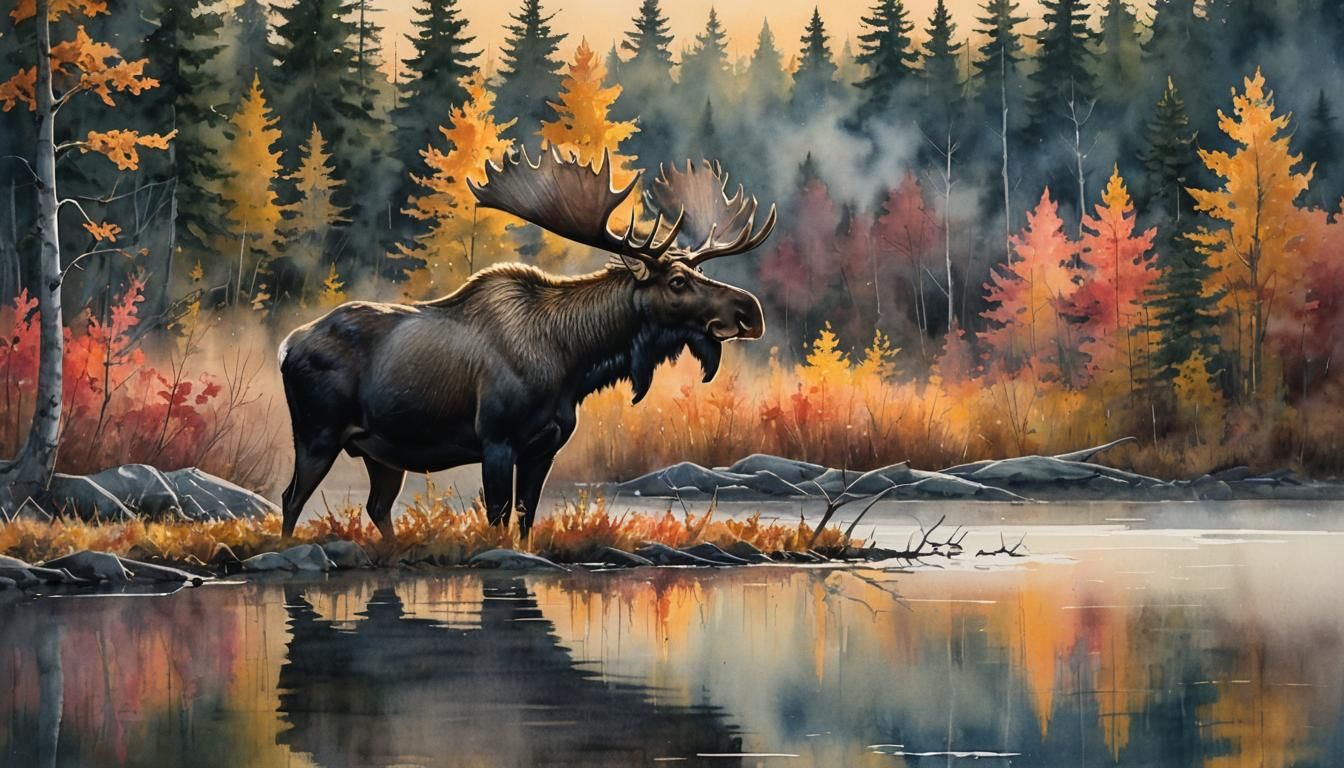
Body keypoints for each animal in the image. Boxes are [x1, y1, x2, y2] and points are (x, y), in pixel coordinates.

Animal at [277, 149, 776, 540]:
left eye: (697, 272)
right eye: (676, 282)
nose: (750, 311)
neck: (573, 361)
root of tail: (286, 346)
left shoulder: (544, 446)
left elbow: (526, 520)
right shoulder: (496, 439)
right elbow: (498, 520)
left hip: (381, 451)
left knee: (377, 507)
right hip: (317, 434)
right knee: (290, 498)